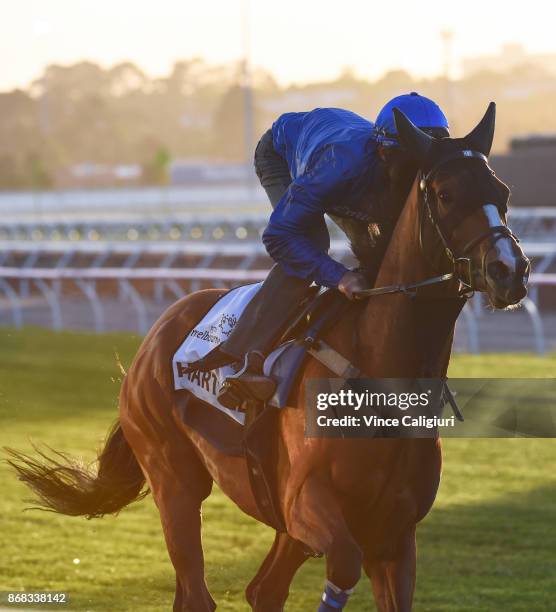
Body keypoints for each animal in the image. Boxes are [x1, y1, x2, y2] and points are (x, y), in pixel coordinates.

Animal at [8, 103, 528, 608]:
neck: (378, 368)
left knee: (262, 591)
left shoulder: (395, 536)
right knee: (198, 593)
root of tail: (154, 337)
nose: (510, 270)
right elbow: (342, 565)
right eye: (444, 194)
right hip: (174, 480)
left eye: (502, 191)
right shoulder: (306, 505)